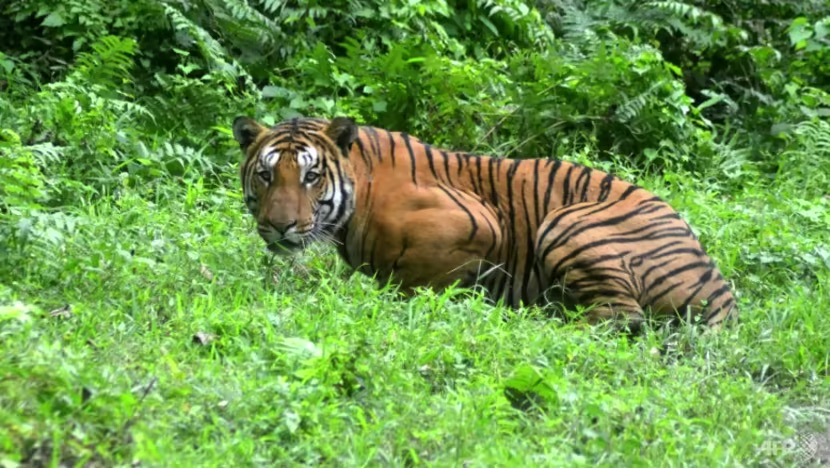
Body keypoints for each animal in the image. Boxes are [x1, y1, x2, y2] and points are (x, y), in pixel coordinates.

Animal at [231, 115, 736, 330]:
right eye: (266, 174)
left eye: (311, 176)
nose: (280, 226)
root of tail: (719, 287)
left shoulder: (479, 223)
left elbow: (415, 281)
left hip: (567, 221)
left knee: (620, 317)